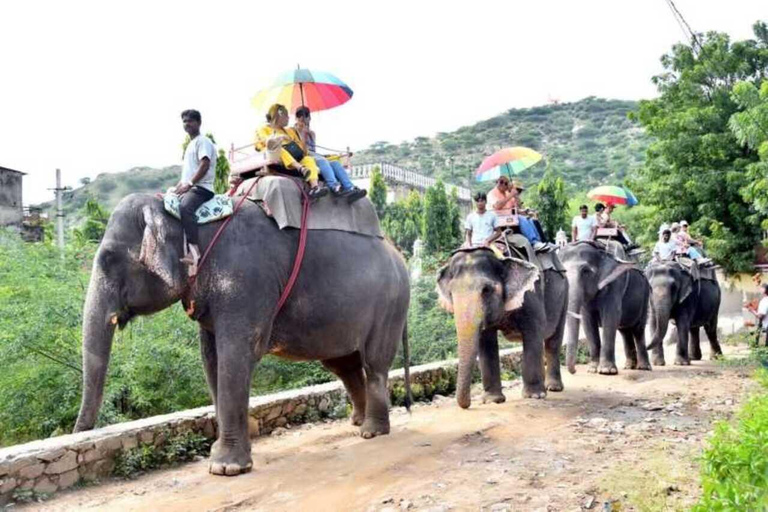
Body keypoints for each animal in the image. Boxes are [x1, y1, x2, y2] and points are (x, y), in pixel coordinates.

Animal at [72, 193, 412, 476]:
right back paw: (358, 422)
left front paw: (226, 468)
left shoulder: (245, 280)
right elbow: (211, 361)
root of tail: (399, 253)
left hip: (390, 304)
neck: (187, 216)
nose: (79, 435)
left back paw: (372, 432)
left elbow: (236, 354)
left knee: (373, 364)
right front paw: (221, 455)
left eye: (108, 259)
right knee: (344, 364)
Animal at [436, 248, 568, 408]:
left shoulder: (530, 295)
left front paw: (534, 396)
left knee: (553, 341)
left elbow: (533, 333)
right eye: (450, 292)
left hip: (564, 293)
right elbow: (487, 342)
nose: (467, 405)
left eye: (486, 290)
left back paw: (553, 388)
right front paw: (492, 400)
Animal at [560, 242, 656, 374]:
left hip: (645, 296)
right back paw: (629, 366)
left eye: (585, 271)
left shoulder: (615, 284)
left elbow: (610, 317)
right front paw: (592, 369)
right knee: (625, 331)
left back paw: (644, 368)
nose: (574, 371)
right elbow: (587, 321)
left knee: (638, 329)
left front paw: (607, 371)